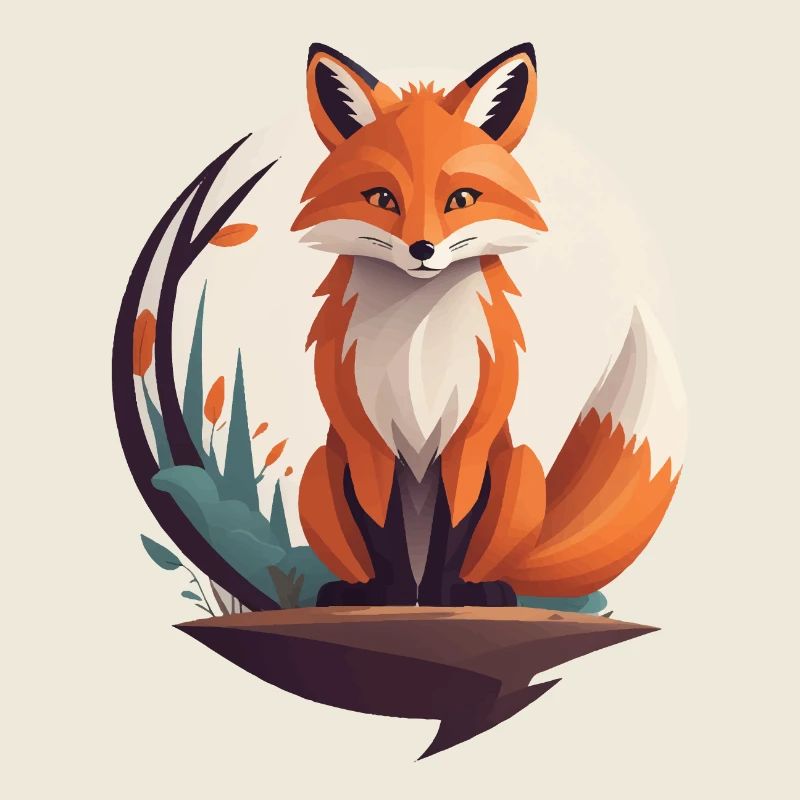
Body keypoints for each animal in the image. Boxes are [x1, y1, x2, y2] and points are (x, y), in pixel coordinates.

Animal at [291, 42, 687, 607]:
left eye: (461, 200)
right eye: (382, 199)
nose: (422, 249)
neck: (417, 342)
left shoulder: (470, 437)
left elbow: (456, 528)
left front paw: (445, 597)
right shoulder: (366, 440)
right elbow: (381, 530)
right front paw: (391, 597)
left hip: (520, 467)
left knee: (495, 561)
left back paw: (486, 589)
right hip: (316, 473)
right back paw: (356, 590)